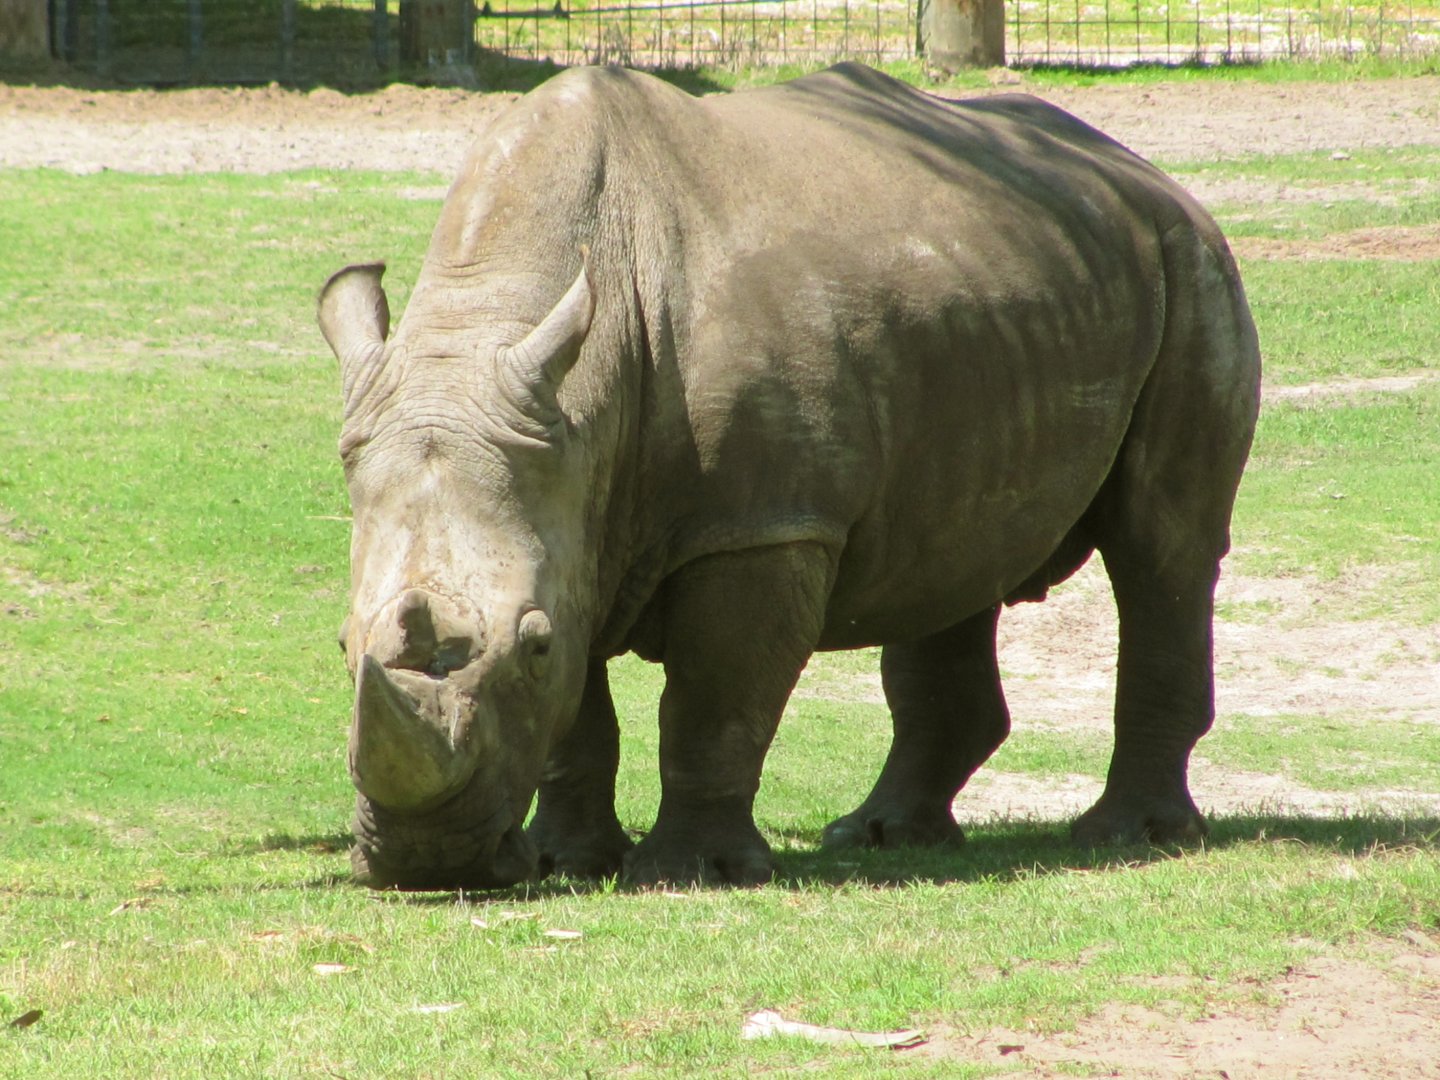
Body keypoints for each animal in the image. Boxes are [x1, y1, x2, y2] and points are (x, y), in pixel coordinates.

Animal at [317, 63, 1260, 890]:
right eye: (342, 646)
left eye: (535, 642)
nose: (426, 863)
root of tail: (1139, 167)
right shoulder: (567, 507)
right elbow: (579, 722)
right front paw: (565, 863)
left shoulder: (762, 524)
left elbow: (712, 704)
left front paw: (692, 874)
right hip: (999, 290)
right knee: (953, 550)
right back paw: (883, 835)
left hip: (1192, 264)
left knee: (1160, 550)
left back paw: (1130, 835)